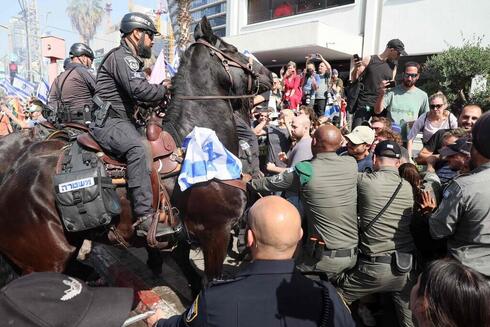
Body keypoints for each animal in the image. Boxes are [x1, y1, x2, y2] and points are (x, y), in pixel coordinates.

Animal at [0, 17, 272, 294]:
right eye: (231, 49)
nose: (268, 74)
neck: (197, 141)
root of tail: (11, 179)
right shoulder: (216, 233)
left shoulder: (184, 236)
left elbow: (190, 273)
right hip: (47, 261)